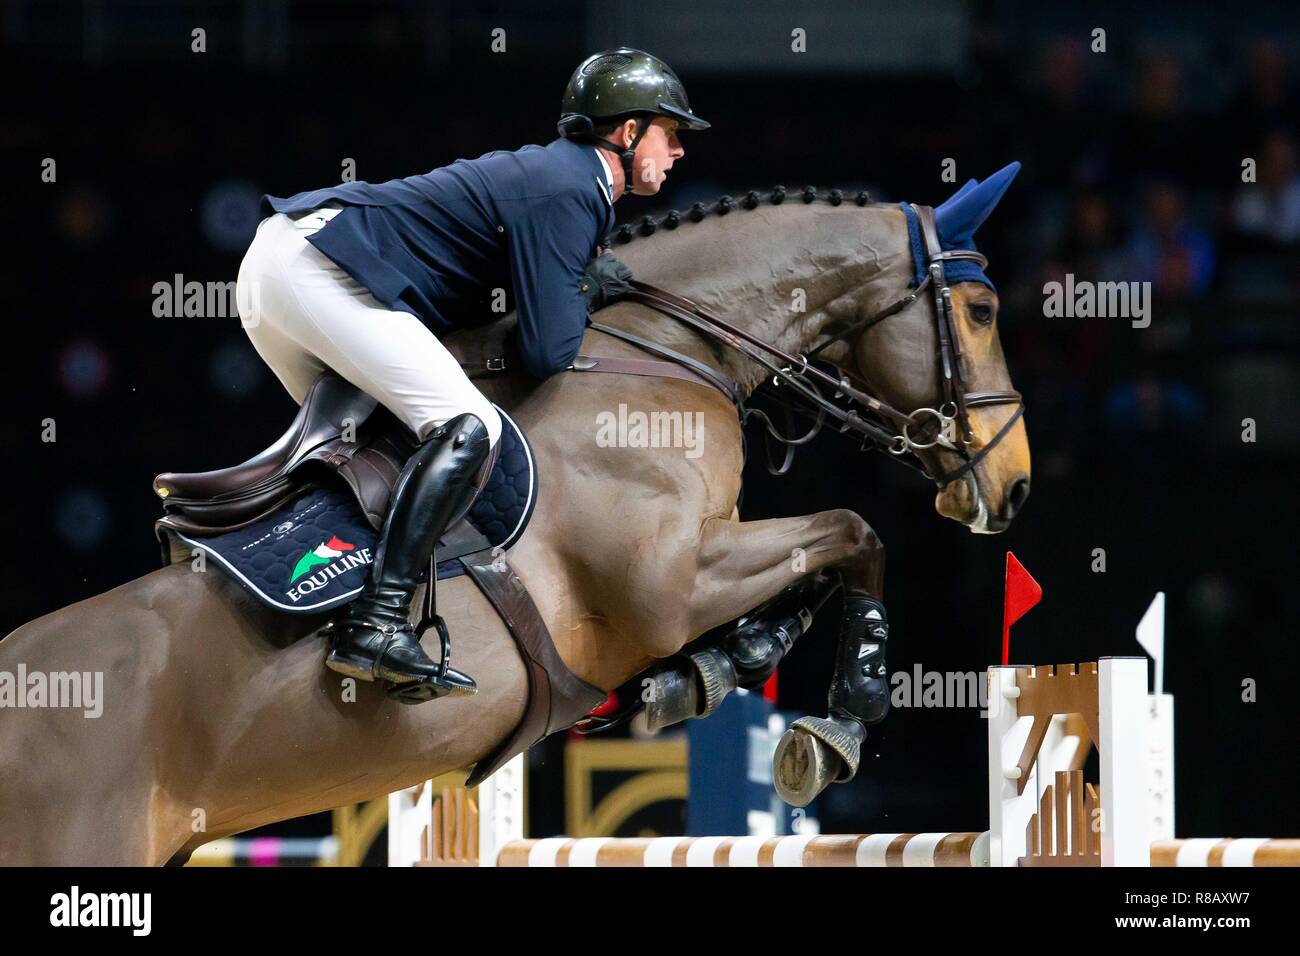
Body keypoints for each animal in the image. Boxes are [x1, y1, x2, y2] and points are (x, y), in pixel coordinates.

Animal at [2, 166, 1034, 868]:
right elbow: (855, 533)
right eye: (982, 310)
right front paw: (843, 719)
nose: (1014, 486)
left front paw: (711, 671)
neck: (659, 352)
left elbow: (820, 563)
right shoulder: (672, 582)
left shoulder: (700, 569)